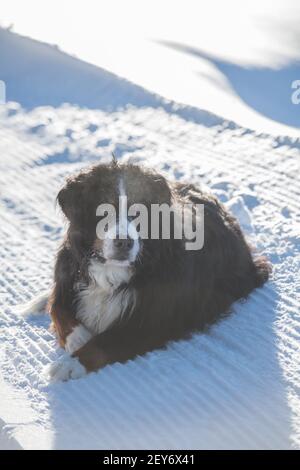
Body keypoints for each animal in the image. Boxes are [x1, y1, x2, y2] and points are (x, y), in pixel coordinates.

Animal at [25, 160, 272, 380]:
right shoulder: (68, 277)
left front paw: (68, 364)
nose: (124, 242)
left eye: (140, 211)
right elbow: (58, 308)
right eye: (104, 209)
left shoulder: (153, 319)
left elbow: (103, 342)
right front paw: (78, 338)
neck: (112, 269)